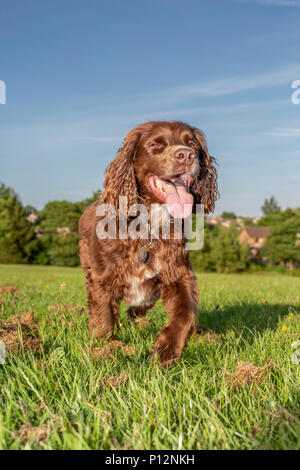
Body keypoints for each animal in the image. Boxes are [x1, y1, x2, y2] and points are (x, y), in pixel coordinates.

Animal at [78, 119, 217, 366]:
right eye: (155, 145)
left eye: (191, 143)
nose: (186, 155)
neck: (149, 224)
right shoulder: (102, 278)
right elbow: (104, 317)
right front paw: (104, 350)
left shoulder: (178, 273)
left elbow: (186, 313)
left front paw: (166, 352)